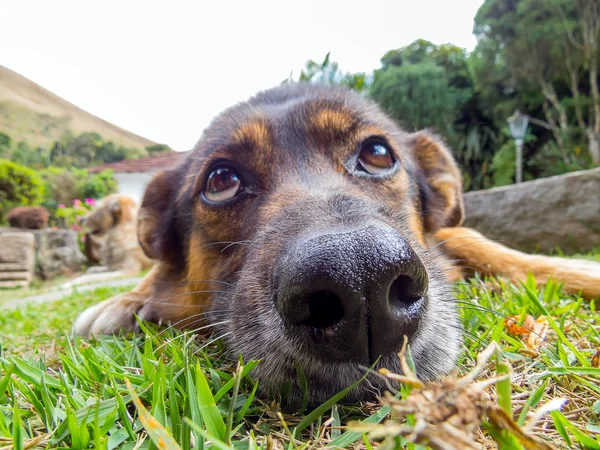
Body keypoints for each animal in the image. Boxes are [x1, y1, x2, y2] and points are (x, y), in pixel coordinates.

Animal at [74, 83, 600, 404]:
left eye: (378, 153)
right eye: (220, 180)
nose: (361, 281)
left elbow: (480, 241)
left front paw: (579, 271)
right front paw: (128, 301)